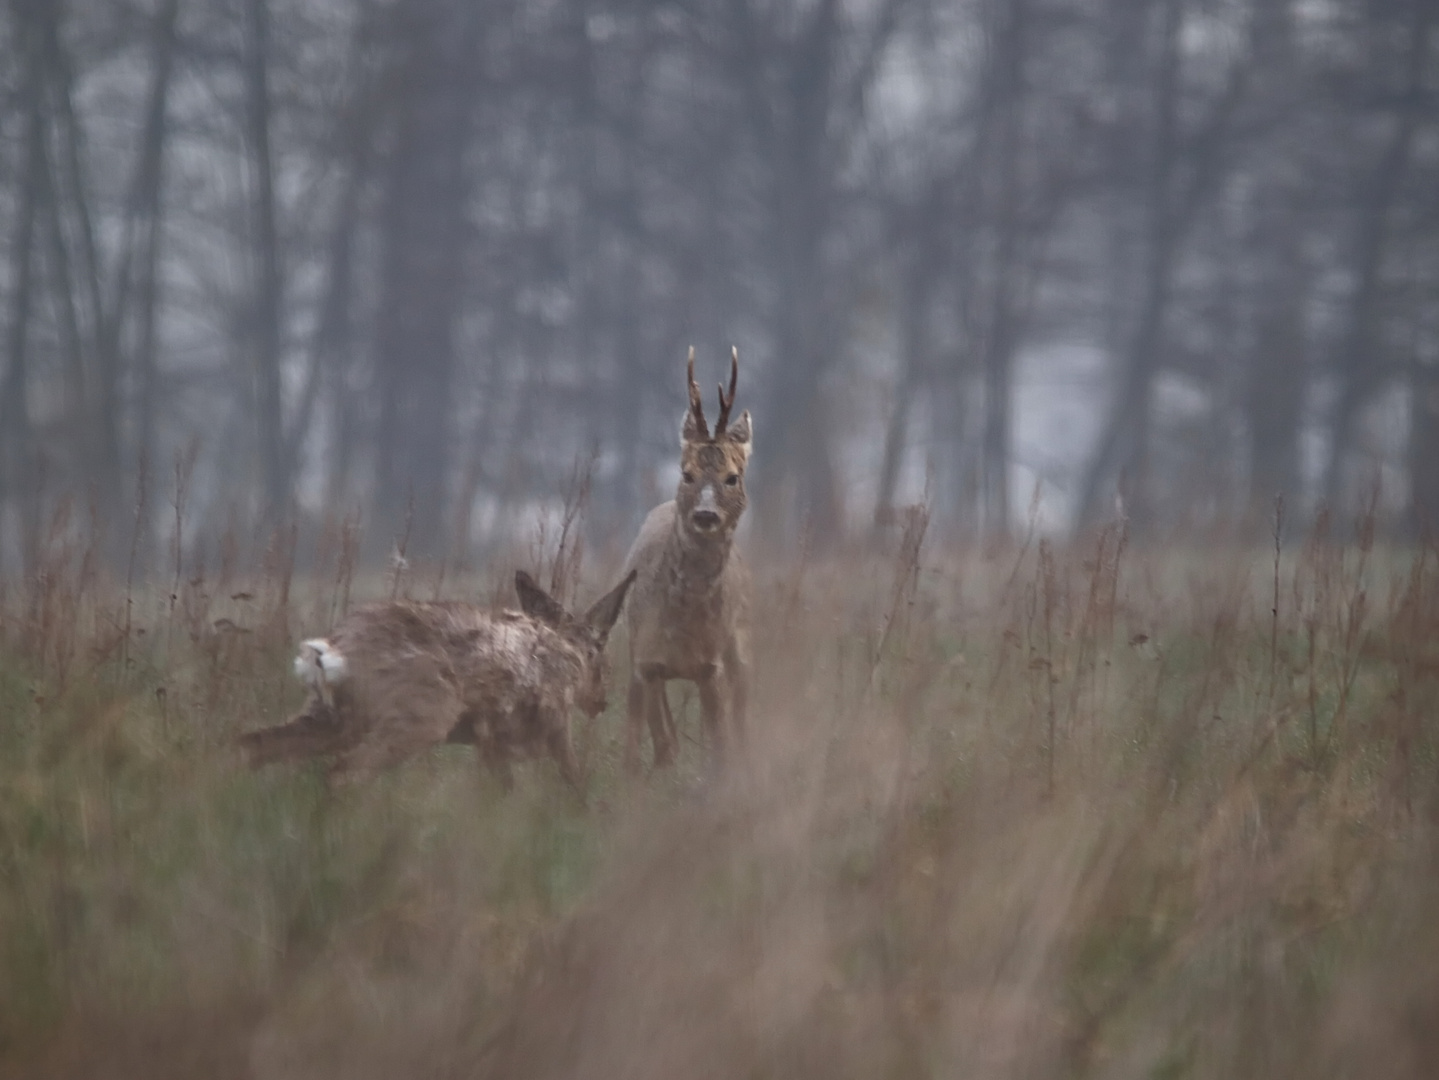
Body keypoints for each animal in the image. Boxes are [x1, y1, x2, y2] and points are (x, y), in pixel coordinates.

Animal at [240, 566, 636, 793]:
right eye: (602, 659)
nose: (602, 701)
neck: (567, 651)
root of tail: (337, 651)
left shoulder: (491, 743)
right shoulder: (554, 723)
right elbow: (573, 777)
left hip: (333, 717)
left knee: (253, 744)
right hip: (422, 715)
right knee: (343, 772)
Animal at [621, 346, 754, 770]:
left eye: (732, 476)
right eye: (687, 473)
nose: (706, 514)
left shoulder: (711, 666)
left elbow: (721, 747)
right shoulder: (644, 662)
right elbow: (655, 748)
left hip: (739, 645)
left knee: (740, 717)